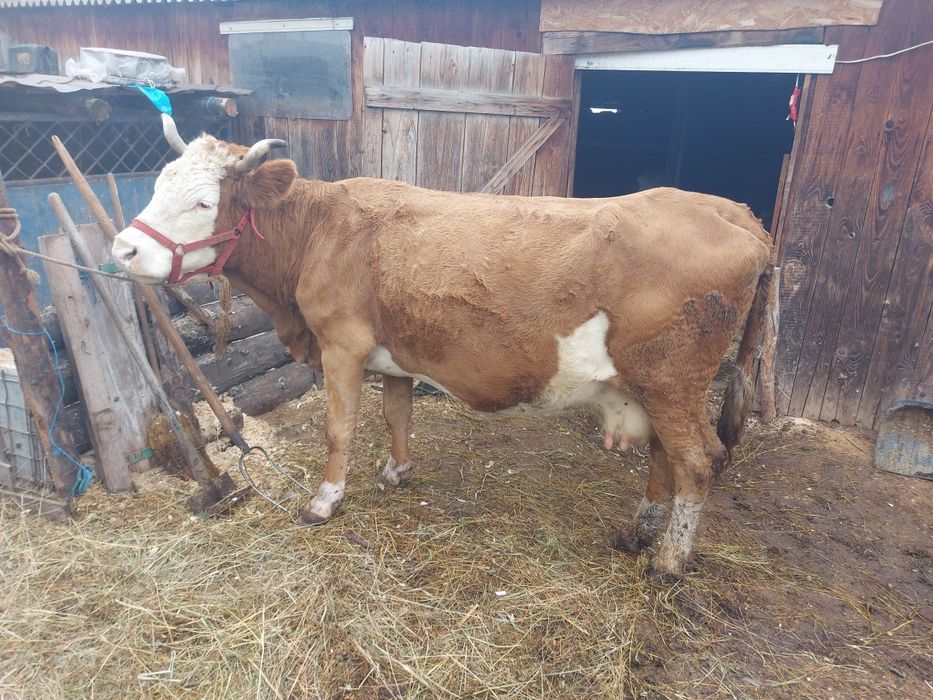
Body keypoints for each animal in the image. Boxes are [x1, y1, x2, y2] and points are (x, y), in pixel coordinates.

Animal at [112, 115, 773, 580]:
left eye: (204, 202)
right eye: (158, 184)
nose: (122, 249)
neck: (320, 230)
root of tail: (734, 213)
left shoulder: (341, 343)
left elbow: (340, 429)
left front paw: (324, 502)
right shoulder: (394, 352)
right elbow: (396, 413)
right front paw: (397, 472)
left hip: (672, 378)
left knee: (697, 461)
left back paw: (668, 561)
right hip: (656, 385)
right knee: (666, 456)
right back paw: (638, 533)